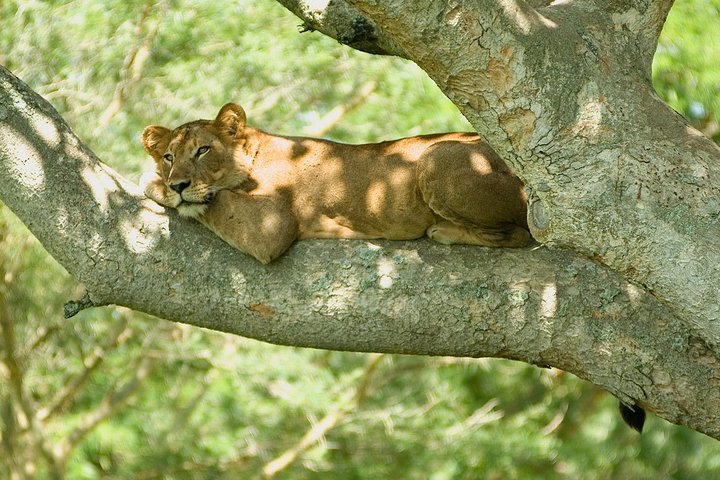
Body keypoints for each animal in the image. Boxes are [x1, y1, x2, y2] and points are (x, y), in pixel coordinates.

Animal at [140, 103, 530, 264]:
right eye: (169, 156)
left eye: (203, 150)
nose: (178, 184)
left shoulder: (271, 229)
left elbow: (217, 203)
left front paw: (155, 183)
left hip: (437, 156)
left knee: (519, 234)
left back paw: (444, 231)